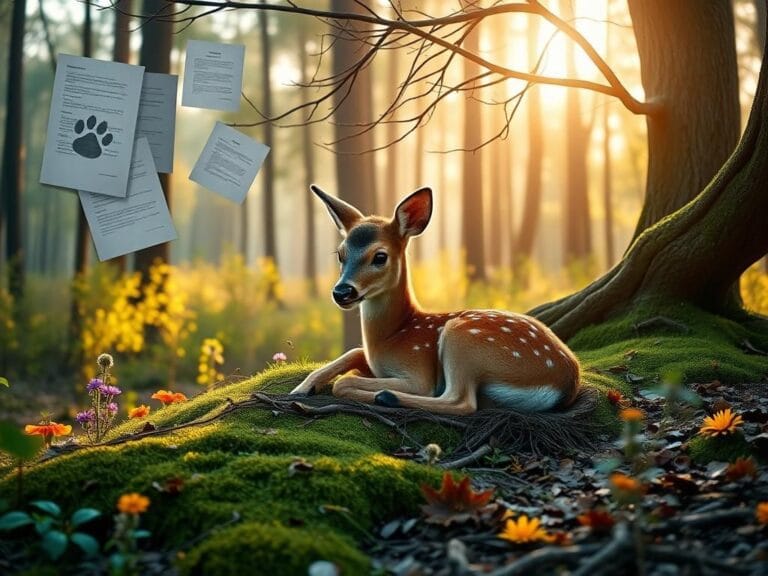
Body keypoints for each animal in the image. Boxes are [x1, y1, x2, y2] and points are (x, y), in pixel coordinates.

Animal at [290, 185, 581, 415]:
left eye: (380, 256)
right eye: (340, 254)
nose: (342, 292)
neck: (391, 336)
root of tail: (567, 382)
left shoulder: (417, 372)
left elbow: (345, 381)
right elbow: (354, 351)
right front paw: (303, 387)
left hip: (464, 341)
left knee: (461, 402)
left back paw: (387, 397)